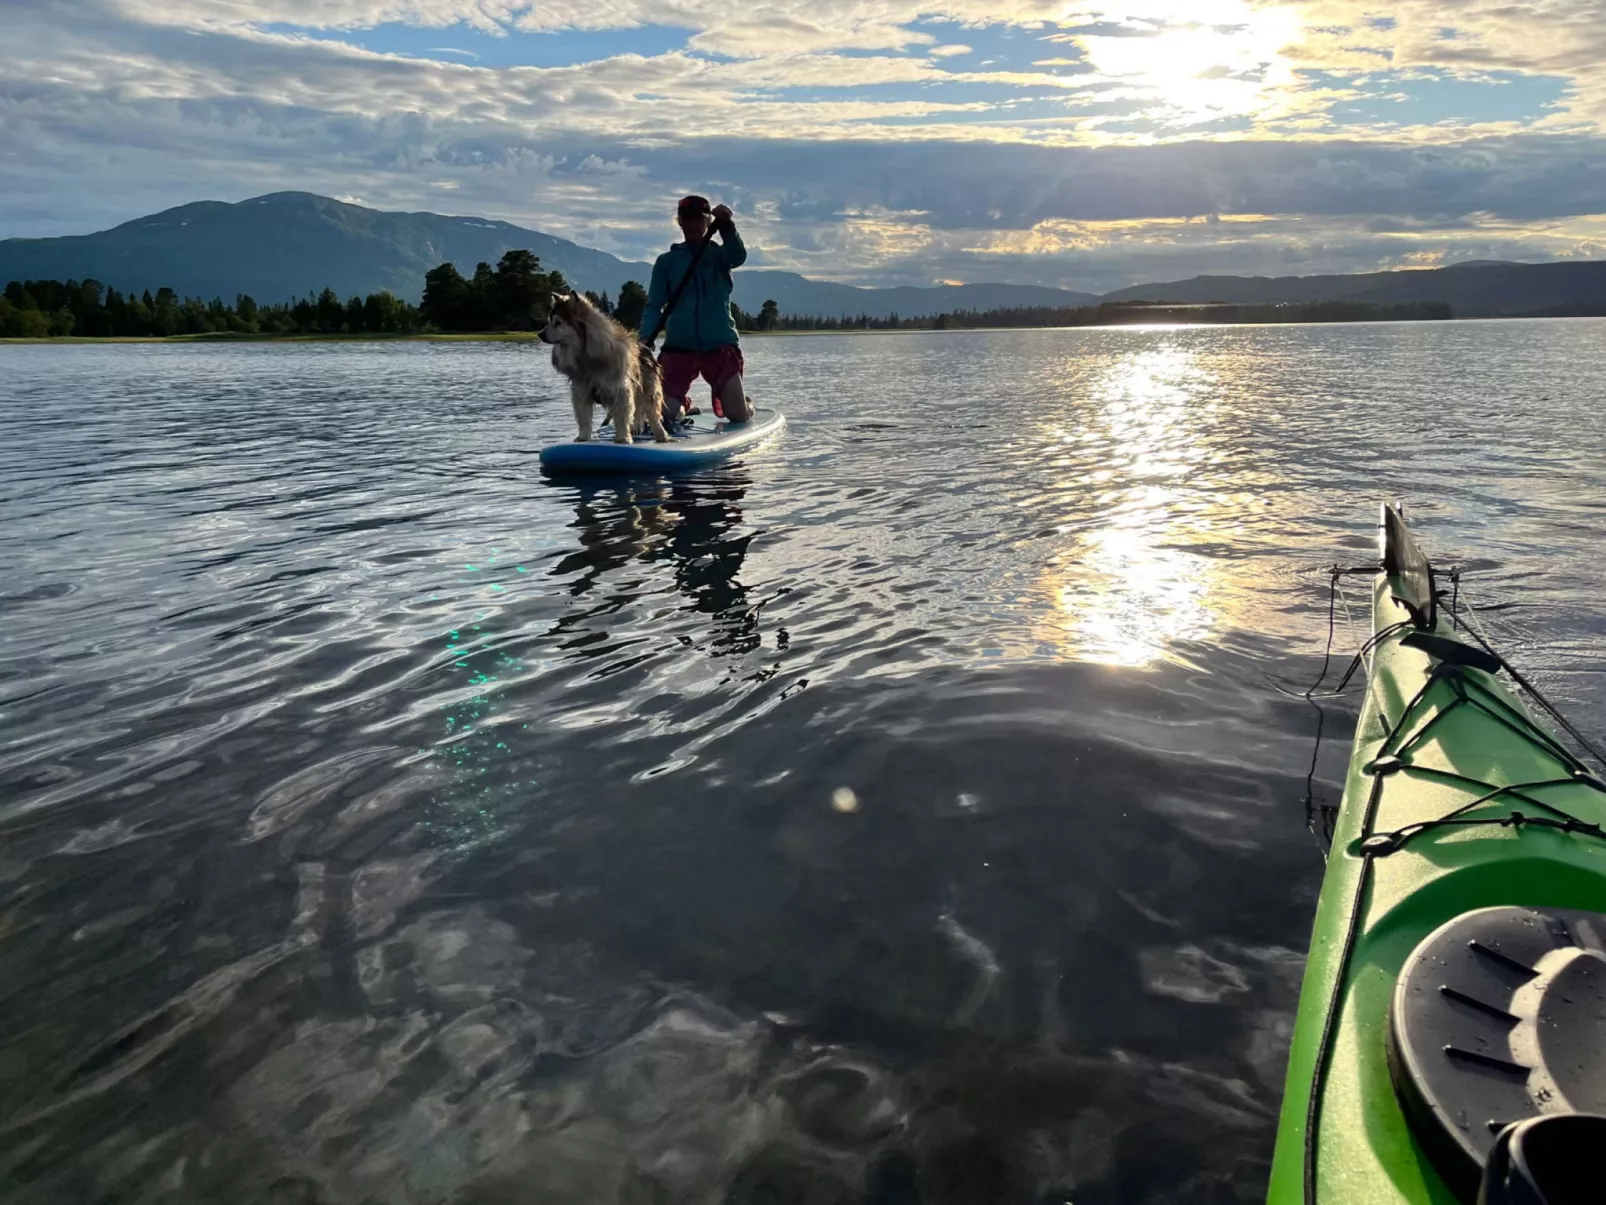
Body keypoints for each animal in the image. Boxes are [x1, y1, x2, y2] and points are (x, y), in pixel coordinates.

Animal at [539, 295, 664, 446]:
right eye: (549, 322)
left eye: (558, 323)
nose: (540, 334)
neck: (585, 354)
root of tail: (646, 349)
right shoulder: (581, 391)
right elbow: (583, 417)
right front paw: (583, 437)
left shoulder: (620, 390)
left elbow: (622, 416)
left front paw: (623, 438)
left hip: (649, 390)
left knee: (653, 414)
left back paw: (662, 436)